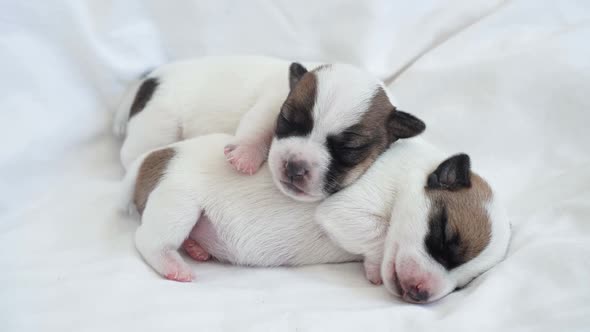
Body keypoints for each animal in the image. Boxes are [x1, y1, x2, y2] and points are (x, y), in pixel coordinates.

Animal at [114, 56, 426, 202]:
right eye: (286, 120)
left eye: (349, 148)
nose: (295, 167)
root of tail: (150, 78)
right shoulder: (272, 100)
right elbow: (258, 124)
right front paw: (245, 154)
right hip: (157, 123)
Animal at [121, 134, 512, 304]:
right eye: (443, 236)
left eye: (462, 286)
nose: (421, 294)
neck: (410, 175)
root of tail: (149, 159)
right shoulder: (345, 208)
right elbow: (379, 234)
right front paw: (374, 266)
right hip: (178, 204)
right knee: (147, 242)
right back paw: (174, 264)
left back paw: (196, 249)